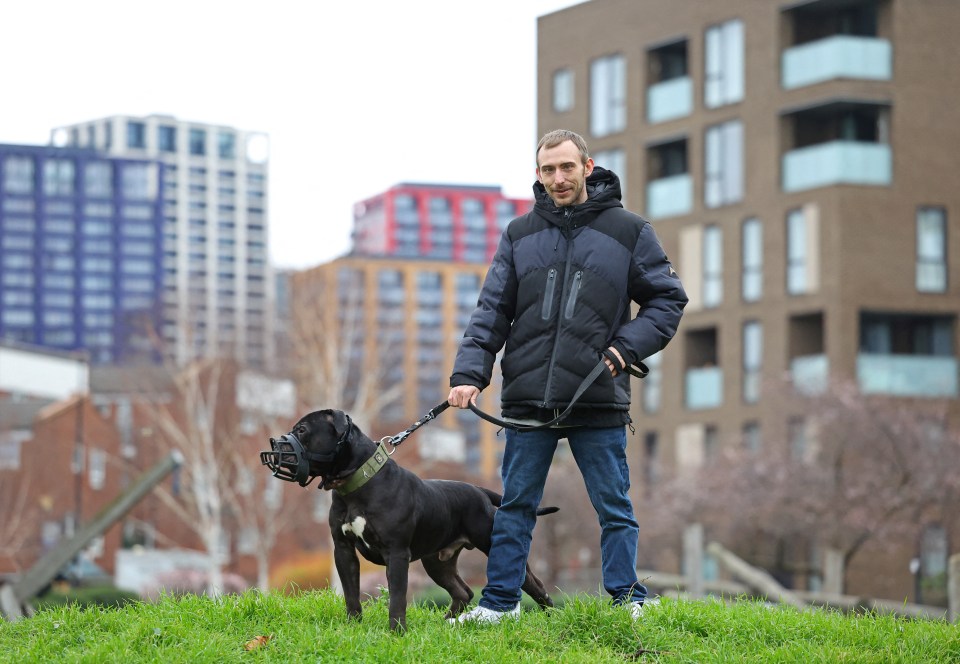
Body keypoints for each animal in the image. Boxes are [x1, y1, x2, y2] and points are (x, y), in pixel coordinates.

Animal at [262, 408, 556, 632]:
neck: (357, 483)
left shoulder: (396, 553)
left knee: (535, 584)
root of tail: (479, 491)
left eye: (302, 430)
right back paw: (446, 622)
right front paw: (353, 626)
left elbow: (397, 597)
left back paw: (551, 617)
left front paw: (397, 632)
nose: (274, 444)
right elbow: (351, 593)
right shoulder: (343, 551)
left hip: (489, 543)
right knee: (462, 591)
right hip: (437, 561)